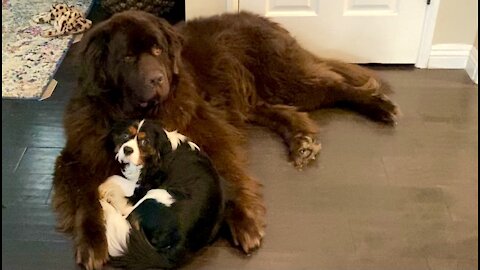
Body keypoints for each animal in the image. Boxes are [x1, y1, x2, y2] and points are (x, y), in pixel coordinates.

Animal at [98, 119, 228, 268]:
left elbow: (116, 179)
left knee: (125, 215)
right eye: (125, 136)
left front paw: (105, 189)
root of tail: (182, 243)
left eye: (144, 142)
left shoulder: (144, 185)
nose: (127, 149)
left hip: (157, 195)